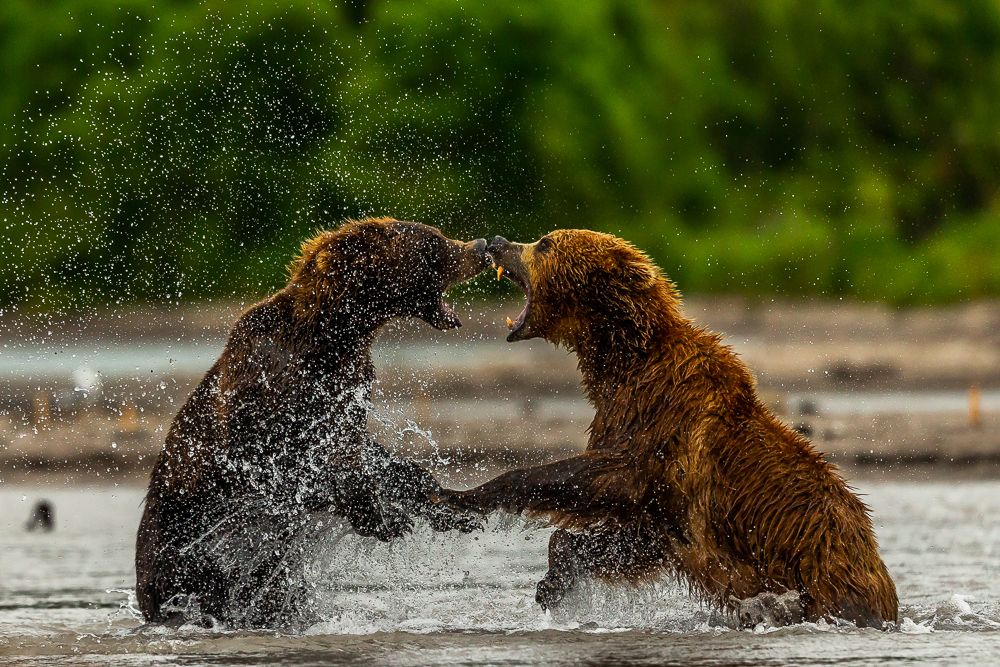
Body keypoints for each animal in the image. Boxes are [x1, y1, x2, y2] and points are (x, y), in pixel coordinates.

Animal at [136, 218, 488, 629]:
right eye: (435, 243)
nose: (482, 246)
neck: (333, 336)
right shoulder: (268, 398)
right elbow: (293, 470)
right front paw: (386, 517)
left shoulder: (346, 392)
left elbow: (365, 455)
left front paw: (447, 506)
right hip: (189, 561)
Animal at [444, 230, 898, 629]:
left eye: (544, 242)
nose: (498, 242)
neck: (624, 360)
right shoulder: (663, 498)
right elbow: (634, 541)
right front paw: (553, 580)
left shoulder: (662, 429)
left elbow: (600, 477)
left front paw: (456, 496)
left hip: (825, 576)